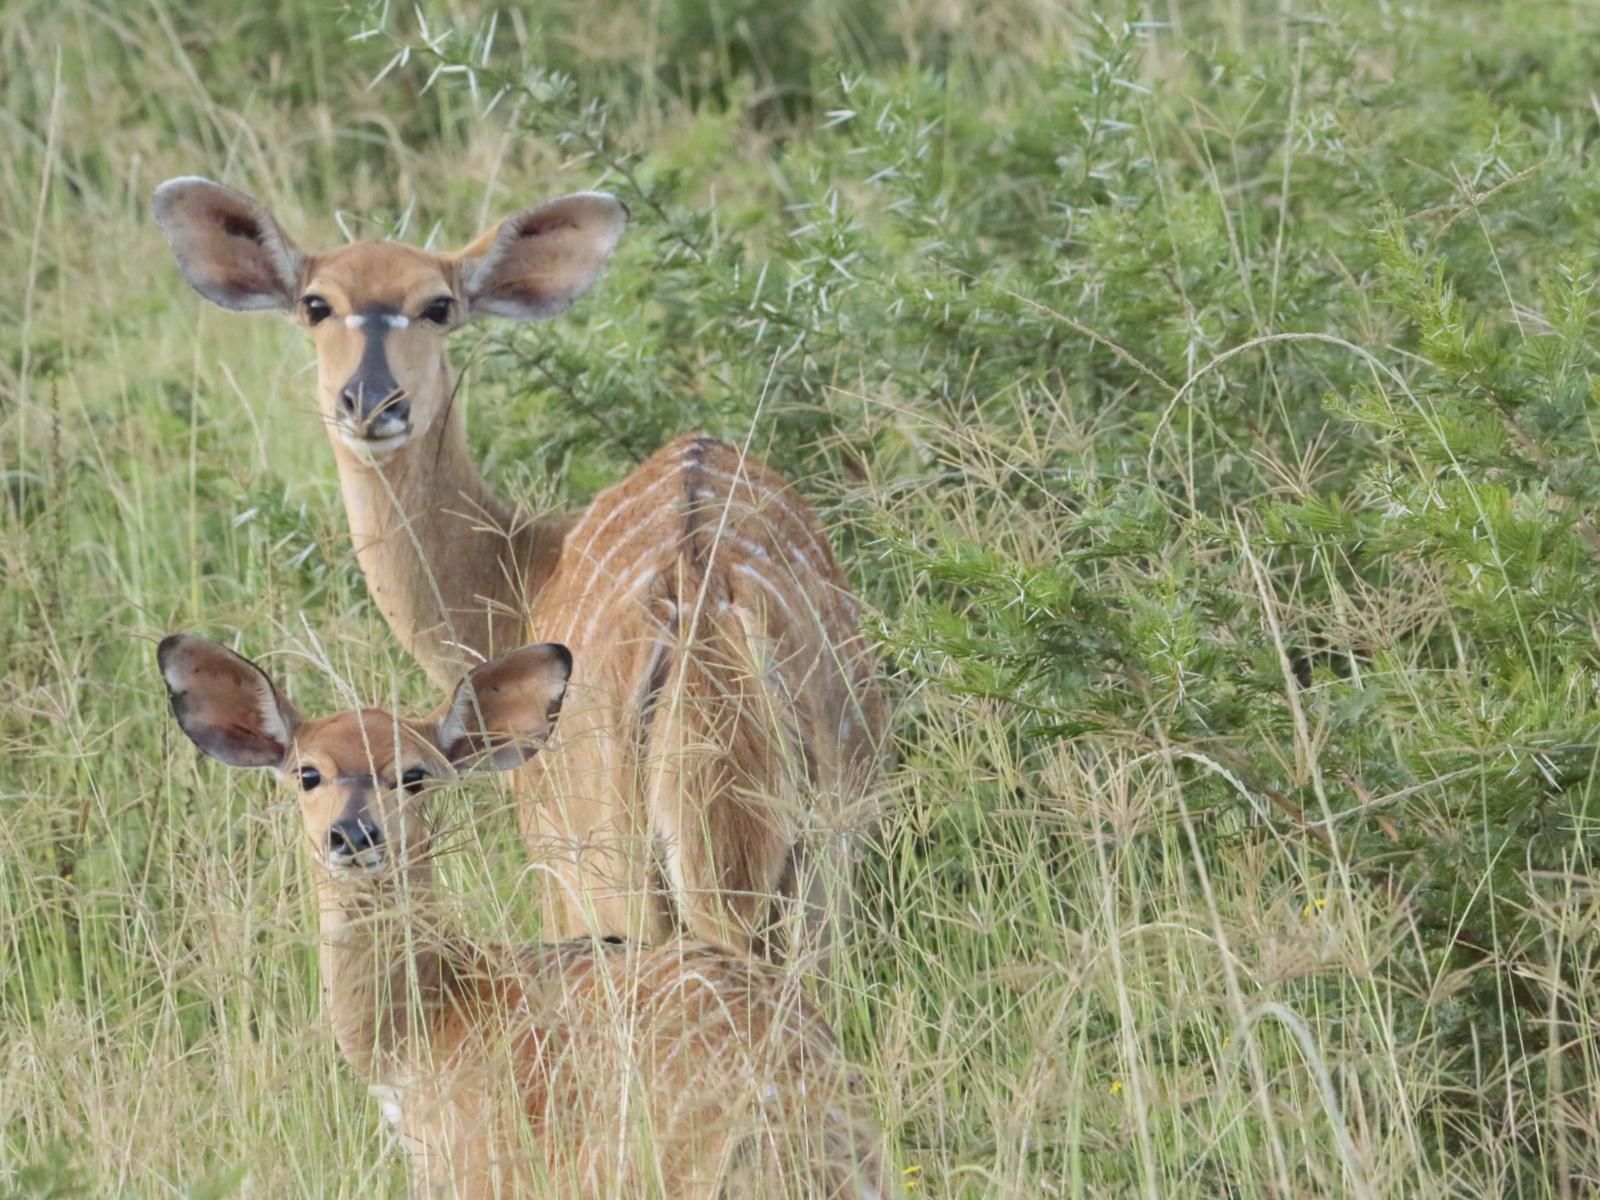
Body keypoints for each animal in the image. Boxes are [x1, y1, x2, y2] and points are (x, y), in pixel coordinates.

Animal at [152, 176, 889, 960]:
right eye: (316, 304)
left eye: (438, 305)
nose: (372, 402)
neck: (520, 569)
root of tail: (702, 594)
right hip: (826, 853)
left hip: (614, 863)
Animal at [157, 633, 896, 1196]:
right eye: (307, 772)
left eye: (414, 775)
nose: (354, 835)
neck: (427, 1024)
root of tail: (795, 1097)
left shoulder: (478, 1169)